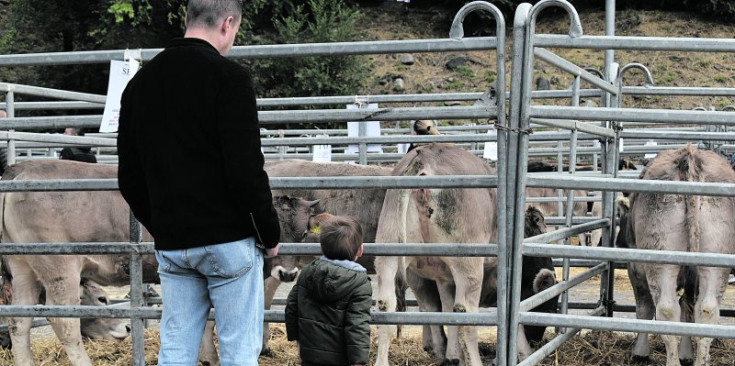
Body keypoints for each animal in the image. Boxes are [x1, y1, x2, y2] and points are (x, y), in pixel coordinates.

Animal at [616, 145, 735, 366]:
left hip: (660, 261)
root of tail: (689, 156)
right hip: (715, 259)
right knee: (706, 310)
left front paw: (640, 352)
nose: (619, 243)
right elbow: (687, 309)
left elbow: (644, 308)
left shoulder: (635, 268)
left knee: (667, 310)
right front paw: (686, 353)